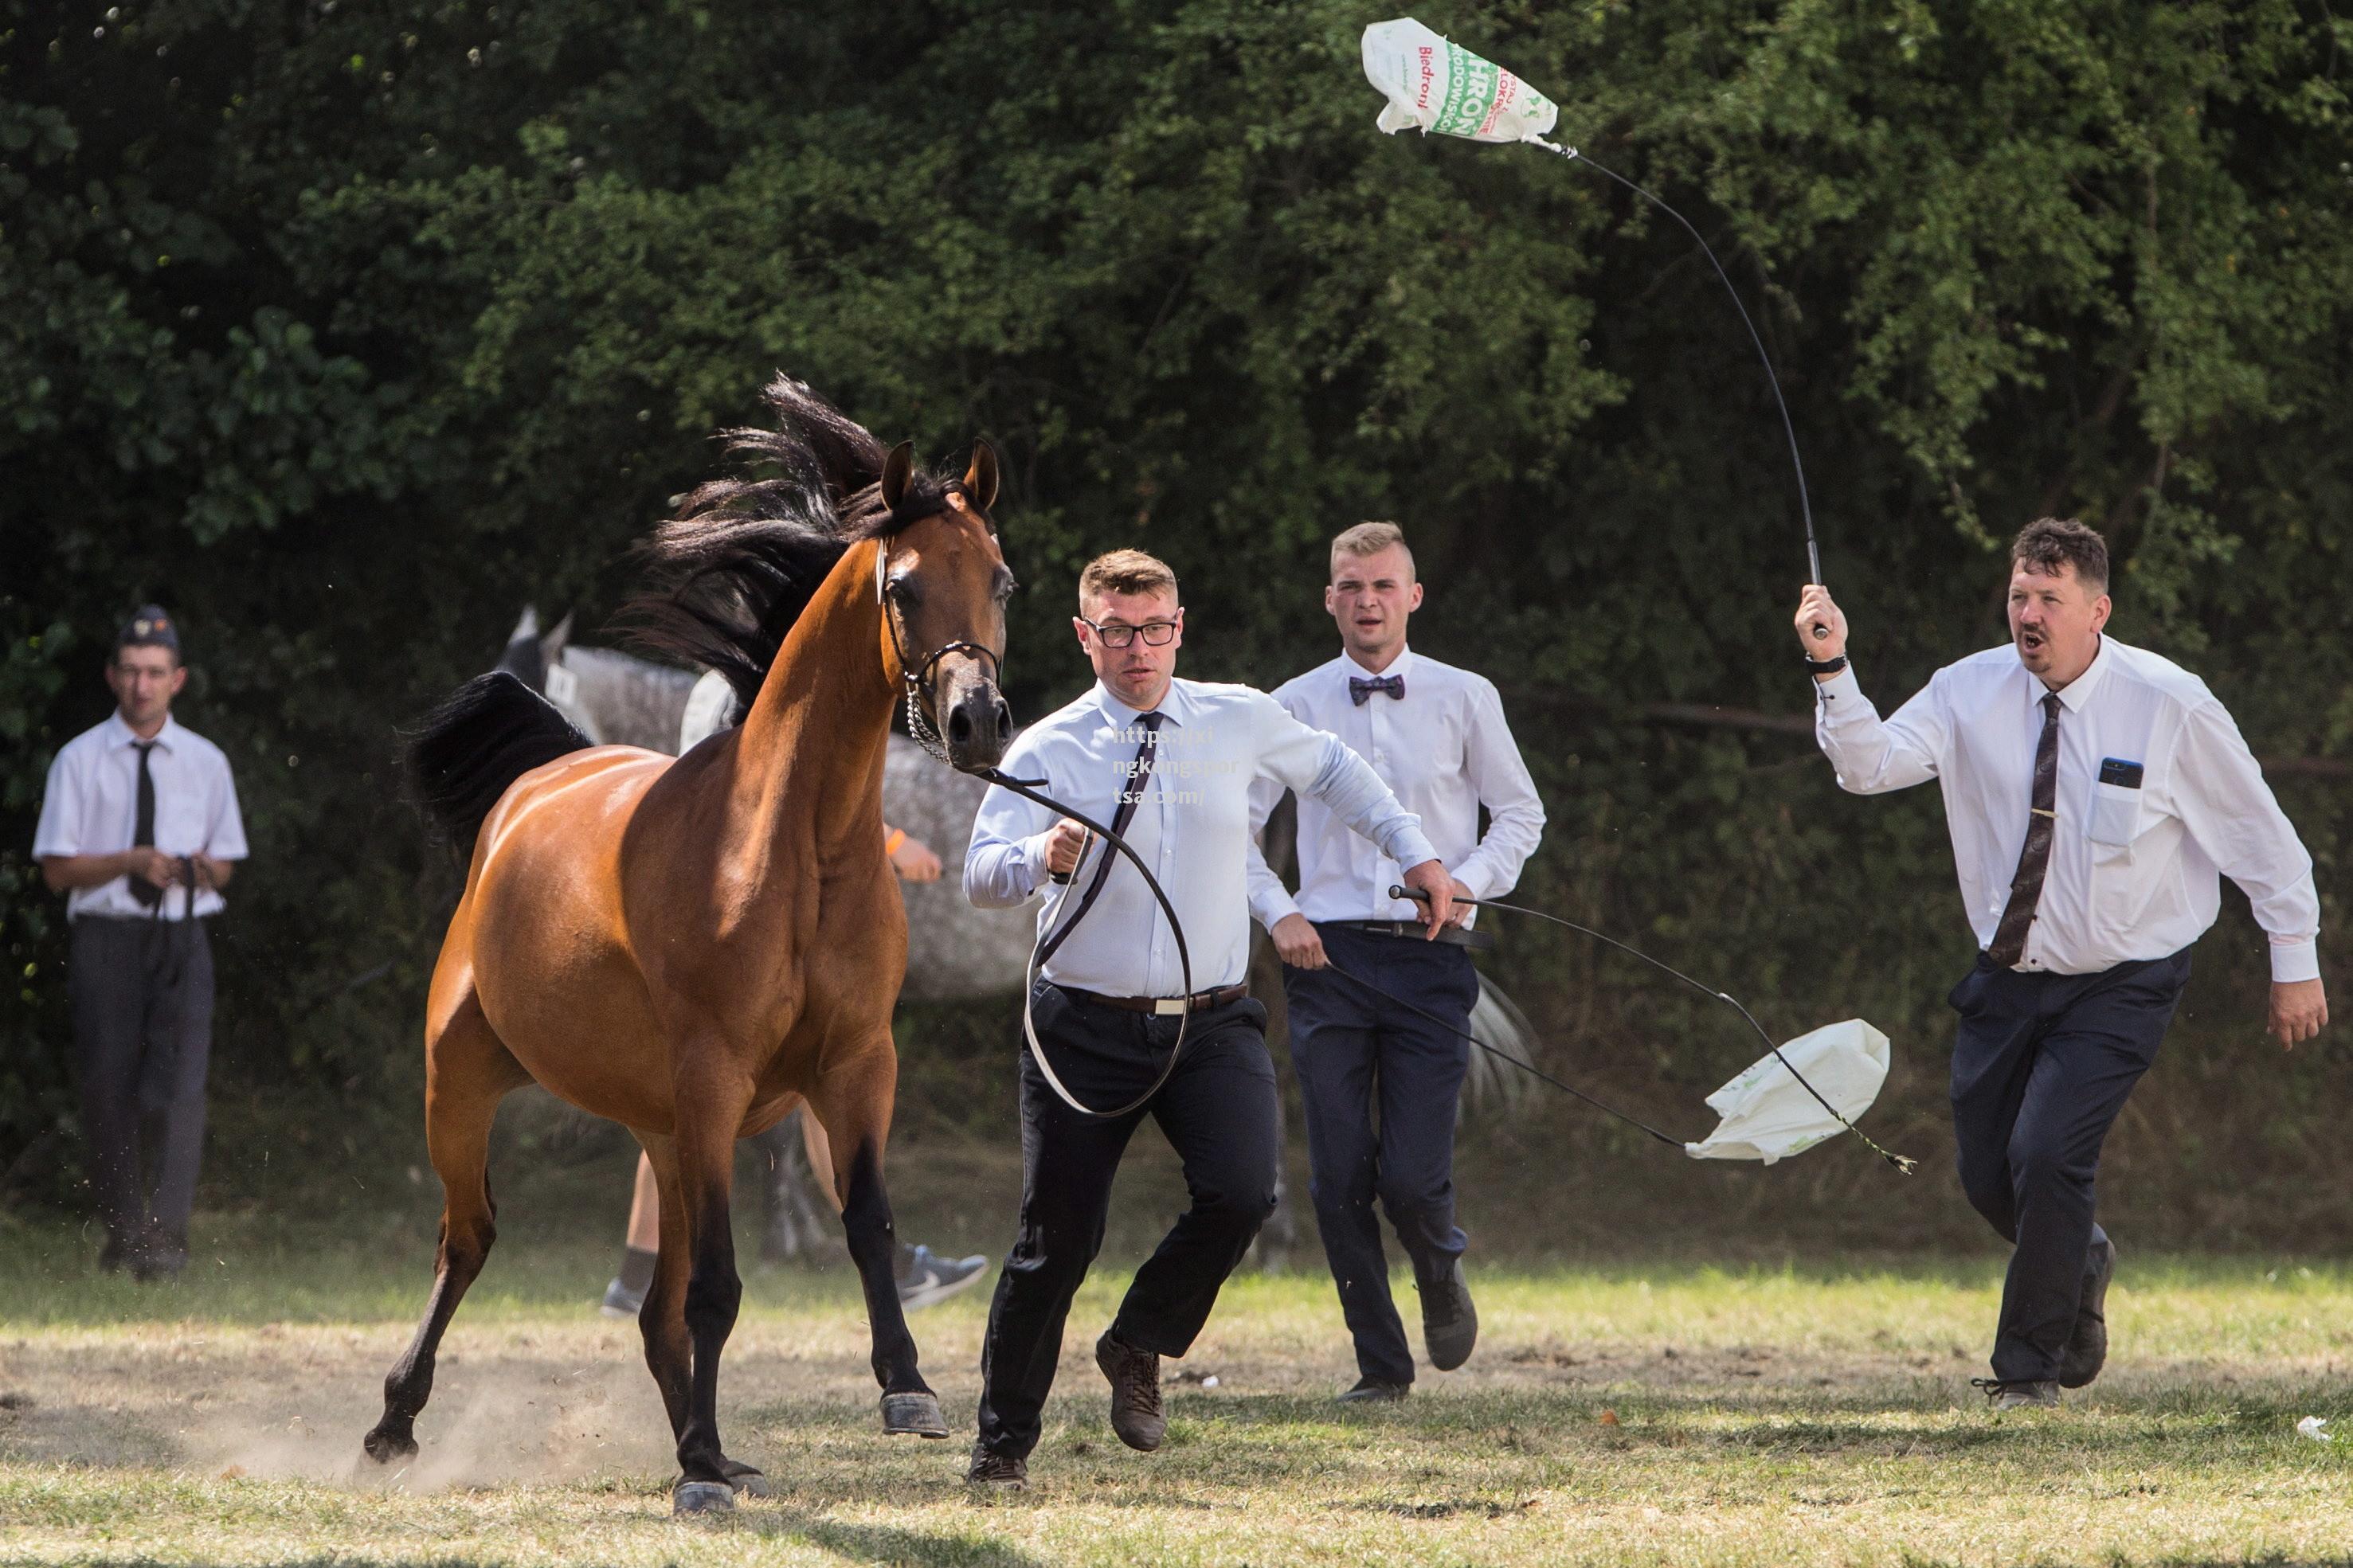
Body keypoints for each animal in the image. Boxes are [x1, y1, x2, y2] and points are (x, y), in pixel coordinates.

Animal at [364, 373, 1012, 1514]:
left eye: (1003, 581)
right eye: (901, 587)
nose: (977, 721)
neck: (790, 848)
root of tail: (545, 774)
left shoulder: (856, 1063)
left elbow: (866, 1221)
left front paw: (905, 1389)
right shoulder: (717, 1079)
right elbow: (720, 1284)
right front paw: (705, 1466)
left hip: (666, 1136)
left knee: (654, 1312)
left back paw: (701, 1443)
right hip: (468, 1083)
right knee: (470, 1239)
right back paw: (401, 1420)